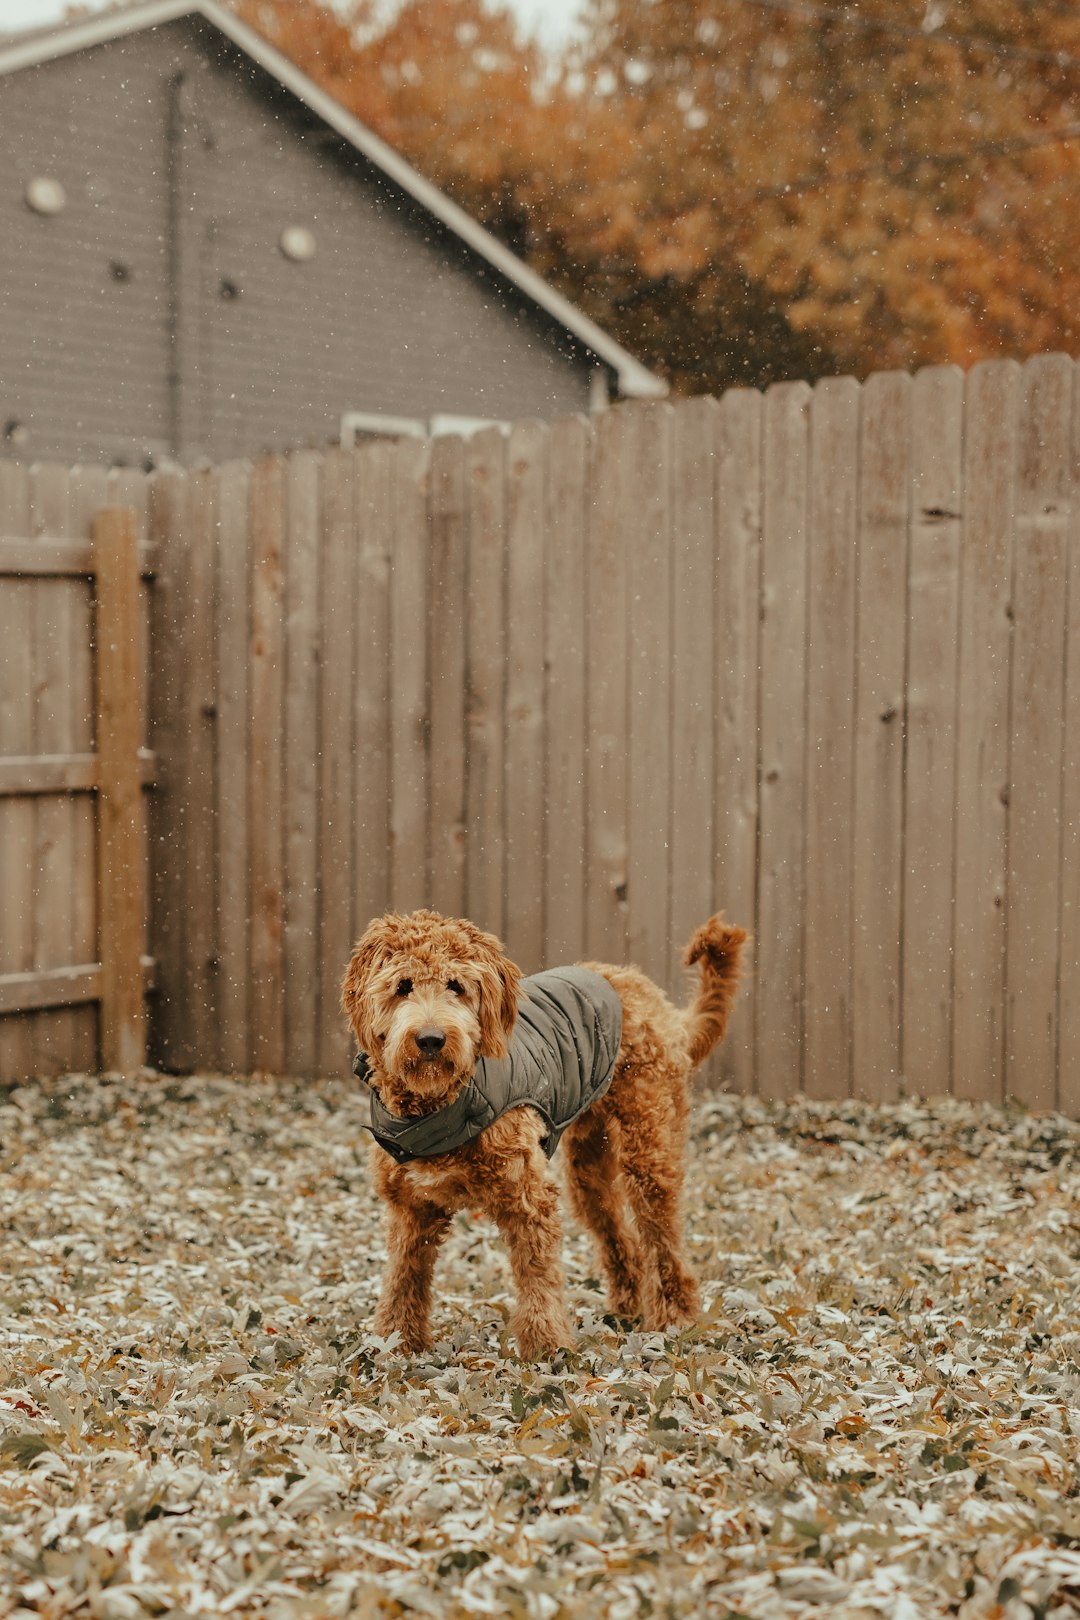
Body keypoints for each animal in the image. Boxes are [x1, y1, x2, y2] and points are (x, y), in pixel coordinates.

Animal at [341, 913, 748, 1354]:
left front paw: (547, 1348)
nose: (431, 1039)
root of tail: (653, 997)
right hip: (588, 1169)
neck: (439, 1105)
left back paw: (676, 1318)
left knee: (664, 1239)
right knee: (621, 1239)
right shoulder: (412, 1208)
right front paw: (395, 1342)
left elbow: (537, 1276)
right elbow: (403, 1277)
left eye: (456, 986)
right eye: (402, 986)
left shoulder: (527, 1198)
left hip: (648, 1146)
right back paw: (625, 1311)